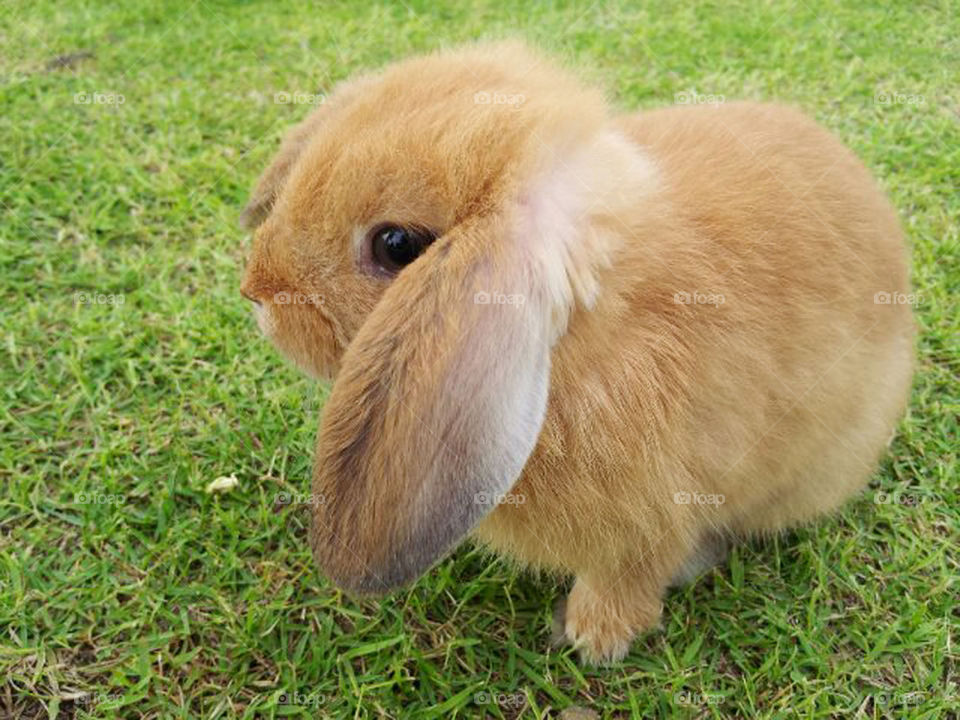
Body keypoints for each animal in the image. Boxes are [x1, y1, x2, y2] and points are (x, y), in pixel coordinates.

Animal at [239, 42, 915, 664]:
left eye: (397, 245)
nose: (257, 291)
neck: (591, 339)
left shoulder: (655, 520)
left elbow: (632, 576)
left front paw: (592, 637)